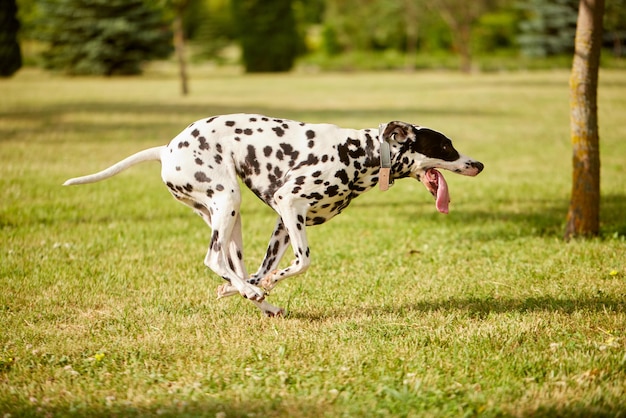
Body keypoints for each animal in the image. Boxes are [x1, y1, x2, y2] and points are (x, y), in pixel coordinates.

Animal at [63, 112, 482, 316]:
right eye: (446, 146)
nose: (478, 164)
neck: (360, 152)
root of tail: (166, 149)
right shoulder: (288, 204)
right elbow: (302, 263)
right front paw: (260, 285)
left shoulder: (285, 222)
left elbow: (267, 269)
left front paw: (253, 288)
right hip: (228, 200)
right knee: (213, 258)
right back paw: (250, 292)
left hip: (229, 221)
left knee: (231, 266)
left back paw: (257, 300)